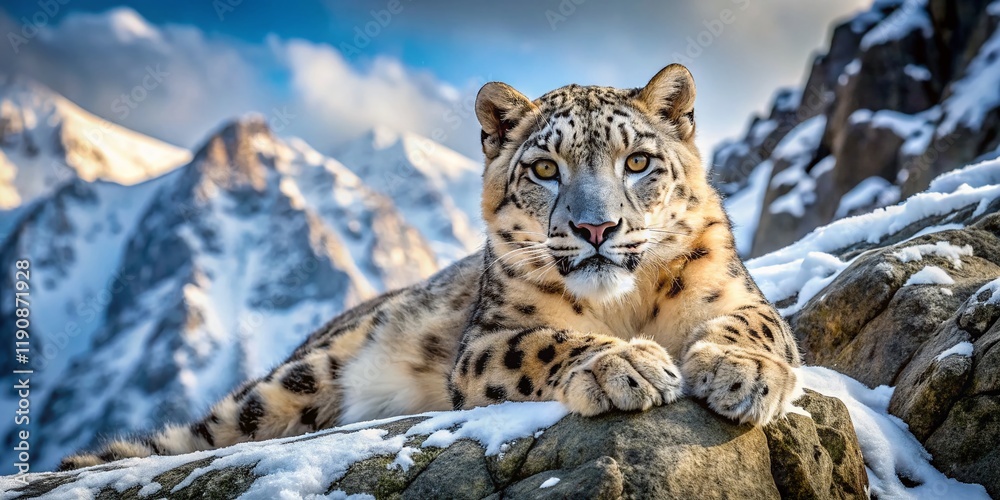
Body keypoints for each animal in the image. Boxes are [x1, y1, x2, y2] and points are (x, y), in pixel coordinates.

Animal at [60, 64, 801, 470]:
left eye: (639, 162)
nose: (595, 228)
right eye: (544, 168)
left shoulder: (734, 291)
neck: (620, 304)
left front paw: (742, 372)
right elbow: (548, 340)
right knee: (204, 431)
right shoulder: (488, 340)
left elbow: (759, 326)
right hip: (297, 378)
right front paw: (624, 364)